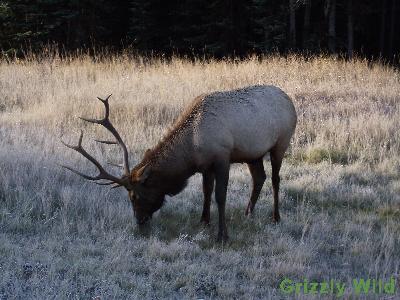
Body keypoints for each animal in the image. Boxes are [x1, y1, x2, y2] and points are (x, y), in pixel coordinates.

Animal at [62, 84, 296, 241]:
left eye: (135, 195)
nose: (139, 222)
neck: (192, 148)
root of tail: (289, 100)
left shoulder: (222, 157)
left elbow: (220, 196)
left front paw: (222, 235)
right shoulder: (205, 166)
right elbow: (206, 191)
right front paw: (203, 221)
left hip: (281, 142)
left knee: (275, 179)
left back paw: (276, 217)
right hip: (253, 153)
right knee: (259, 178)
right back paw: (248, 213)